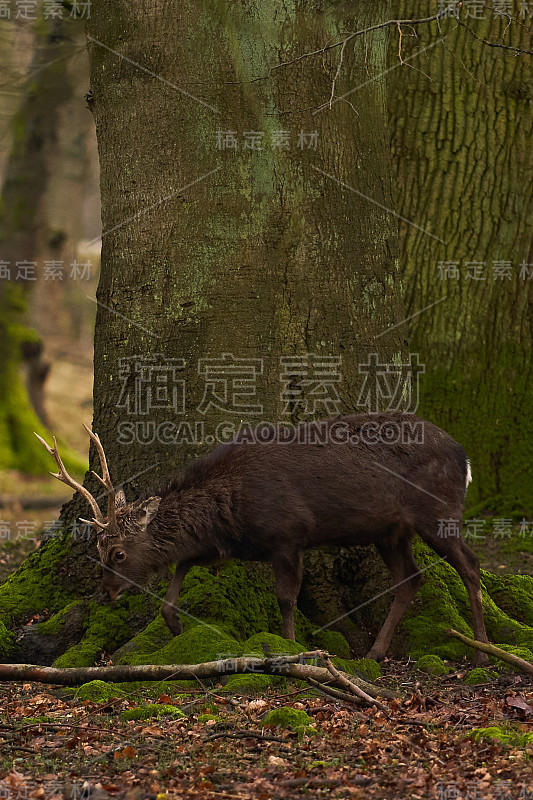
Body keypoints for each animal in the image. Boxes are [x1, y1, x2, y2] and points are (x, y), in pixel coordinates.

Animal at [35, 412, 488, 664]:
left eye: (117, 553)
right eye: (97, 549)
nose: (105, 593)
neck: (229, 508)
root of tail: (465, 456)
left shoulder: (289, 534)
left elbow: (286, 597)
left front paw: (291, 648)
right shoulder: (228, 546)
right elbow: (180, 567)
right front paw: (176, 625)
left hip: (438, 512)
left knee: (471, 564)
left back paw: (482, 650)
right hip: (390, 531)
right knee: (410, 578)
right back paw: (376, 652)